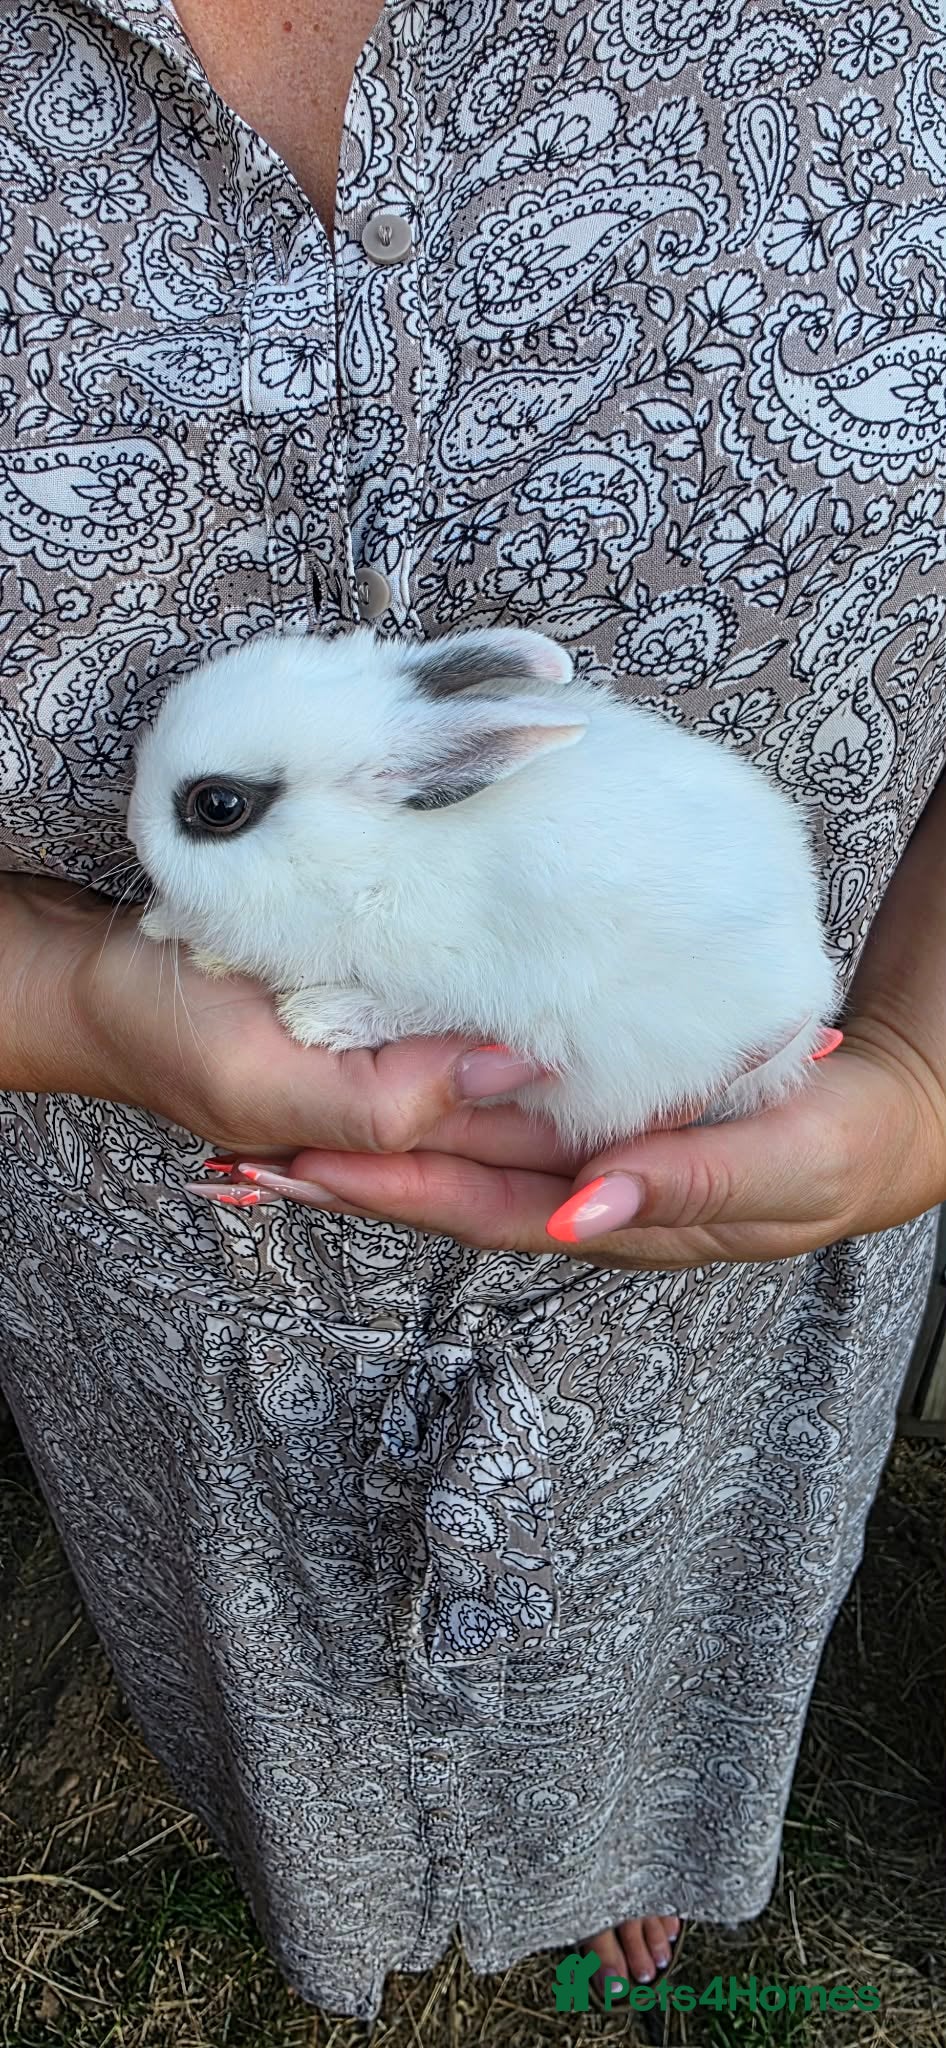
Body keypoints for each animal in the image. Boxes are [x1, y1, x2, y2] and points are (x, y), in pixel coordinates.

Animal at [126, 625, 839, 1153]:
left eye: (219, 805)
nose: (133, 833)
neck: (367, 856)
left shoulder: (481, 981)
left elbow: (426, 1012)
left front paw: (321, 1018)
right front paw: (169, 927)